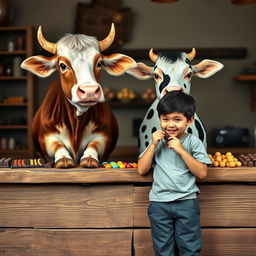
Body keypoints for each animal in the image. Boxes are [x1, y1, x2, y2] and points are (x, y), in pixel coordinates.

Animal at [21, 24, 136, 168]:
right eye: (62, 66)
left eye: (99, 63)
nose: (89, 91)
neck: (76, 122)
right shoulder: (46, 136)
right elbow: (57, 145)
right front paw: (63, 158)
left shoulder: (104, 135)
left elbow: (94, 145)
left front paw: (90, 158)